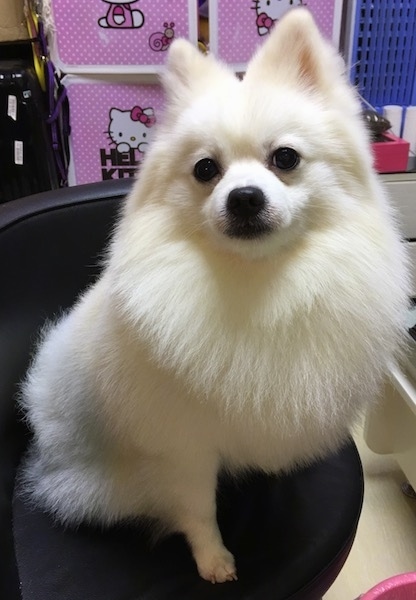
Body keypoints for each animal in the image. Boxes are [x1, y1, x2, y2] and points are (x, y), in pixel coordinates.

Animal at [21, 8, 408, 580]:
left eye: (285, 158)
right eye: (206, 169)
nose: (244, 197)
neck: (257, 281)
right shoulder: (183, 448)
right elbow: (198, 510)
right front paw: (214, 560)